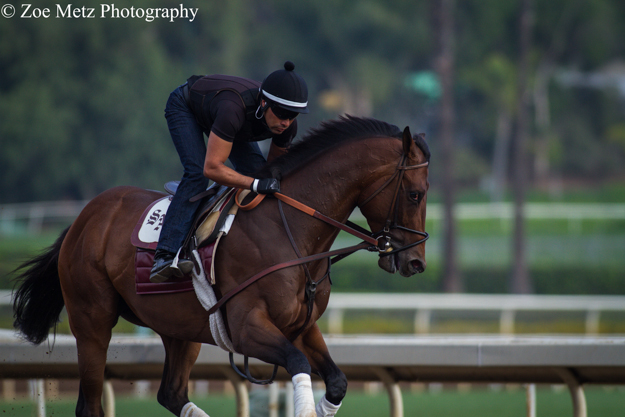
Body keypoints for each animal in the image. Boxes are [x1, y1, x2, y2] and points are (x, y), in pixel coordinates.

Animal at [12, 114, 428, 416]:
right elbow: (298, 364)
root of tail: (83, 218)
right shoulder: (247, 327)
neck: (292, 232)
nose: (416, 261)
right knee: (90, 404)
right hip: (92, 321)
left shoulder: (300, 326)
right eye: (415, 193)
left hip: (179, 328)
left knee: (171, 393)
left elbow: (338, 382)